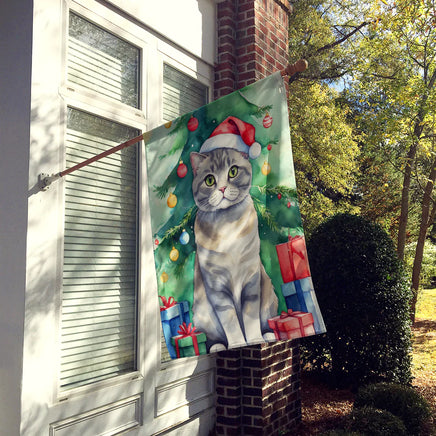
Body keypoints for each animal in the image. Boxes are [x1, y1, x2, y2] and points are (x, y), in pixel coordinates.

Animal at [190, 148, 278, 352]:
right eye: (209, 180)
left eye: (233, 171)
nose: (222, 188)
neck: (227, 224)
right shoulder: (217, 290)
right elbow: (230, 323)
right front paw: (237, 343)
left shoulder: (251, 282)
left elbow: (250, 319)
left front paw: (254, 340)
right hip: (201, 313)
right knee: (212, 337)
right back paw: (218, 346)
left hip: (269, 295)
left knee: (266, 320)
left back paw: (268, 334)